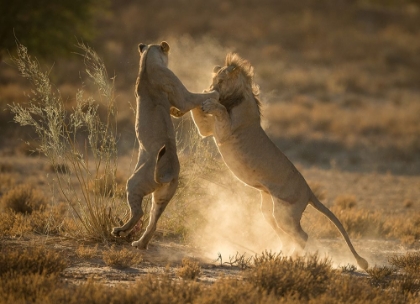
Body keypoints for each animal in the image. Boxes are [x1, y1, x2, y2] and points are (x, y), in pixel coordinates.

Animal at [111, 41, 220, 249]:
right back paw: (124, 233)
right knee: (142, 214)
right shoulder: (183, 96)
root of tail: (167, 171)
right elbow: (195, 98)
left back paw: (134, 240)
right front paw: (214, 92)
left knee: (149, 219)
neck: (146, 61)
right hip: (141, 185)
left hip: (158, 194)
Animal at [192, 53, 370, 270]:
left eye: (221, 80)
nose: (211, 88)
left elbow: (221, 111)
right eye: (214, 79)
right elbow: (198, 116)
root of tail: (309, 191)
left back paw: (292, 258)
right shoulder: (208, 130)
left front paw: (209, 100)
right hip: (269, 210)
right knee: (286, 236)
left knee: (302, 236)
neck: (234, 98)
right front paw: (200, 96)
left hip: (285, 212)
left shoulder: (226, 131)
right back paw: (280, 254)